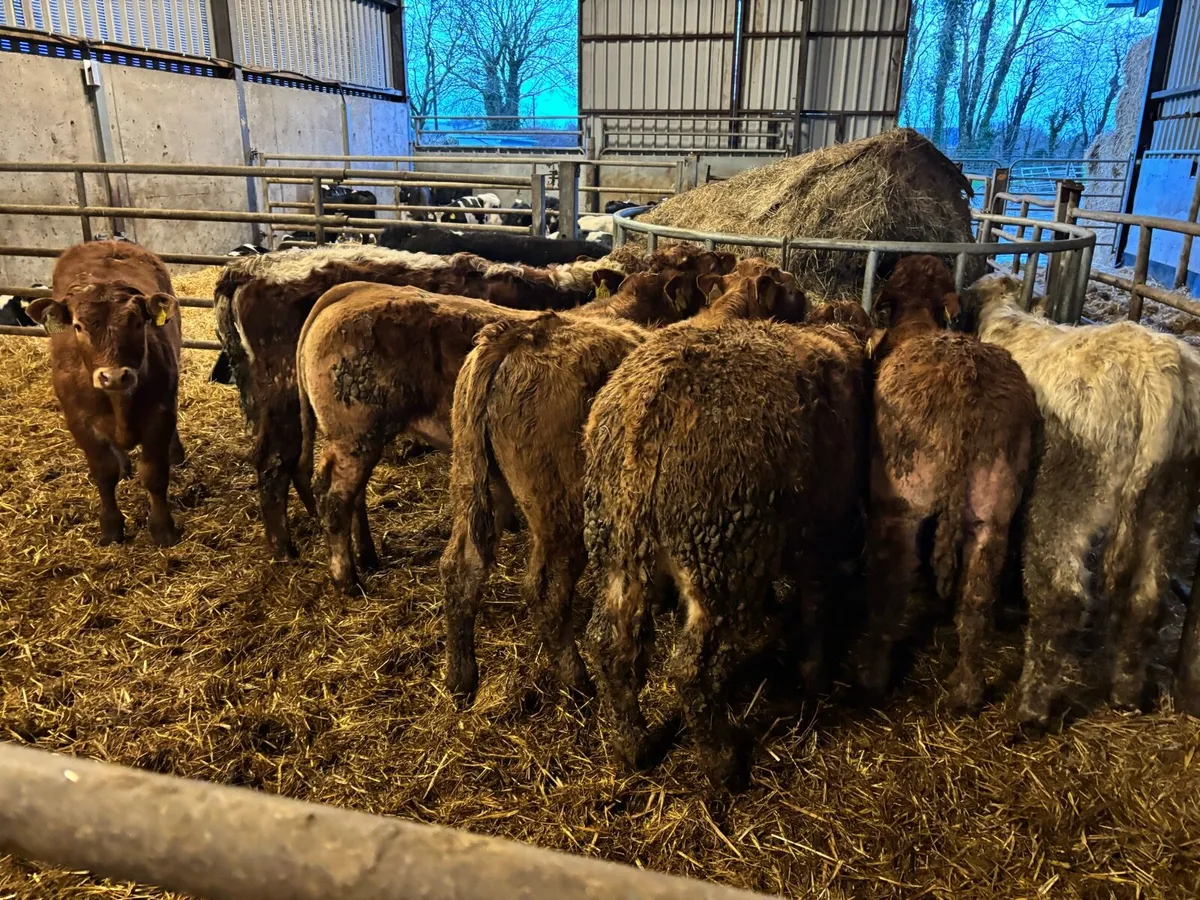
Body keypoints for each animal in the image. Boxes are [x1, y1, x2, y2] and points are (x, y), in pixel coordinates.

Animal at [25, 241, 184, 547]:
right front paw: (111, 526)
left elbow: (155, 474)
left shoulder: (160, 414)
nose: (113, 376)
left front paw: (162, 529)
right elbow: (103, 473)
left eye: (138, 323)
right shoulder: (80, 422)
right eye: (78, 326)